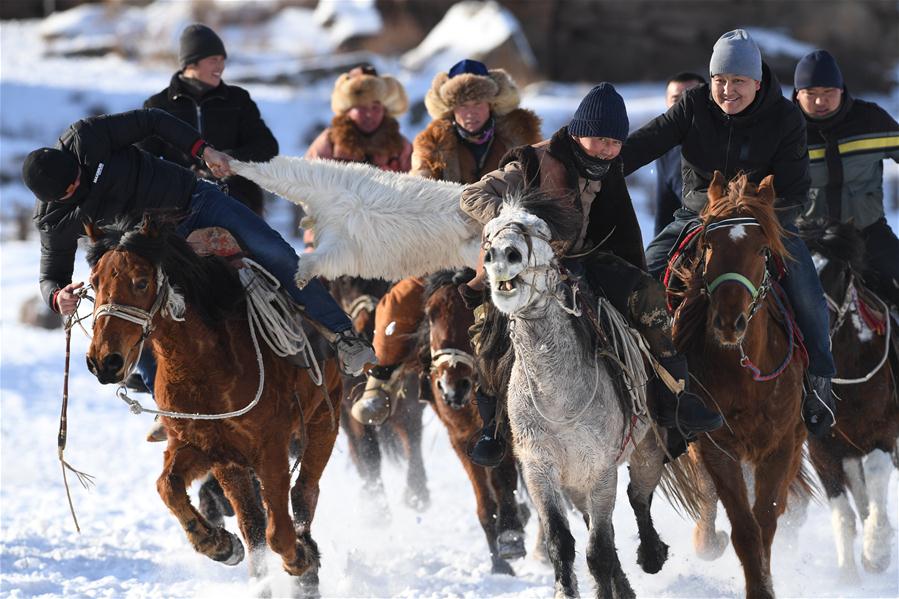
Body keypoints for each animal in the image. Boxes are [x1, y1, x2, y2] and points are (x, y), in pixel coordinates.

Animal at [82, 217, 342, 596]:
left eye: (141, 281)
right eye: (94, 282)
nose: (104, 361)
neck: (207, 364)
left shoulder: (270, 449)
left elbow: (279, 532)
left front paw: (300, 558)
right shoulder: (209, 450)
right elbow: (168, 486)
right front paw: (218, 544)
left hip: (324, 420)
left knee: (303, 493)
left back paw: (307, 567)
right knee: (254, 526)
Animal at [422, 272, 528, 576]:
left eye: (468, 313)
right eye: (430, 314)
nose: (453, 386)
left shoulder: (505, 433)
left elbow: (504, 479)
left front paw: (511, 536)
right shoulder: (461, 440)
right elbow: (485, 503)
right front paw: (499, 564)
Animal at [486, 195, 684, 596]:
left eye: (540, 230)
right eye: (489, 233)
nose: (502, 255)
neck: (557, 400)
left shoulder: (601, 470)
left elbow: (600, 551)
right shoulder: (540, 469)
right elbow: (562, 543)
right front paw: (566, 589)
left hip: (646, 450)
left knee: (638, 499)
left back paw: (652, 555)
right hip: (575, 483)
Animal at [668, 171, 808, 596]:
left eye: (762, 249)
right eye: (708, 245)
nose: (729, 322)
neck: (746, 377)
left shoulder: (780, 445)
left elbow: (766, 522)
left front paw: (765, 581)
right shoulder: (716, 447)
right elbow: (744, 528)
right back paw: (706, 539)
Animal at [800, 220, 896, 580]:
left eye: (838, 272)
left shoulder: (885, 432)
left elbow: (878, 471)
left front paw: (877, 551)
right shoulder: (822, 448)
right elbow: (843, 510)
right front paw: (848, 575)